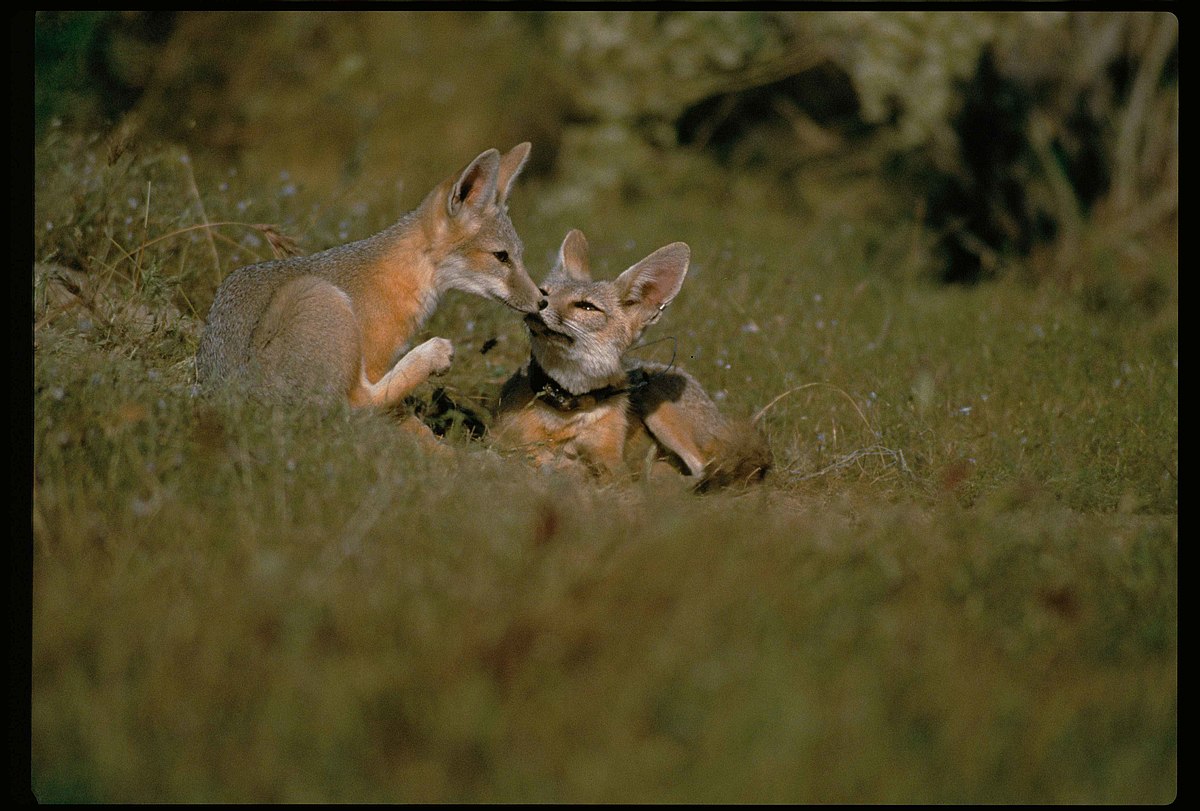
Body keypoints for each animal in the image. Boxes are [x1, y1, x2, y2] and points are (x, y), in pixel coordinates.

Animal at [194, 142, 542, 407]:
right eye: (501, 257)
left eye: (519, 255)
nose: (541, 302)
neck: (399, 275)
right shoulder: (374, 362)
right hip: (320, 297)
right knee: (361, 407)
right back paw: (431, 355)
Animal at [492, 227, 772, 487]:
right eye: (543, 291)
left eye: (586, 307)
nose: (537, 303)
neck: (566, 410)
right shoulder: (500, 443)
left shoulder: (612, 464)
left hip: (658, 406)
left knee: (702, 470)